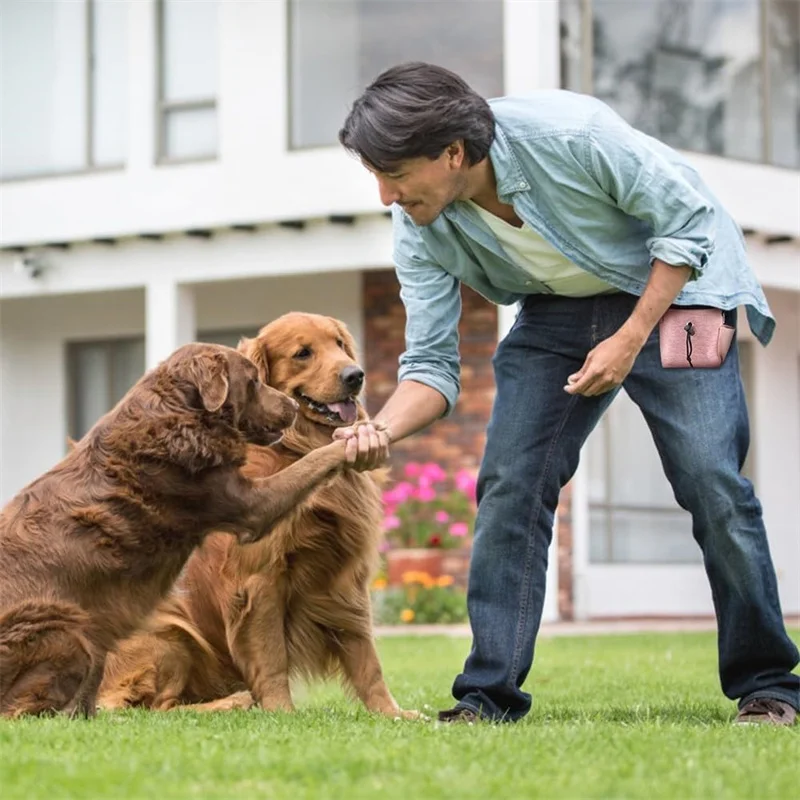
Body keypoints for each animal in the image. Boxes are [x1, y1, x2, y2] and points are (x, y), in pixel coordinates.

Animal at [0, 340, 350, 716]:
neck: (185, 415)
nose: (293, 407)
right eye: (253, 380)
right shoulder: (248, 504)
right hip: (68, 629)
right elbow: (310, 463)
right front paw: (350, 443)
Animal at [98, 312, 418, 720]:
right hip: (169, 630)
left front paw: (392, 713)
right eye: (302, 353)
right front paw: (282, 712)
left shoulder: (345, 577)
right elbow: (271, 656)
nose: (355, 375)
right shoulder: (258, 578)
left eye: (339, 345)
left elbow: (366, 657)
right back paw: (232, 701)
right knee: (154, 708)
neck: (295, 449)